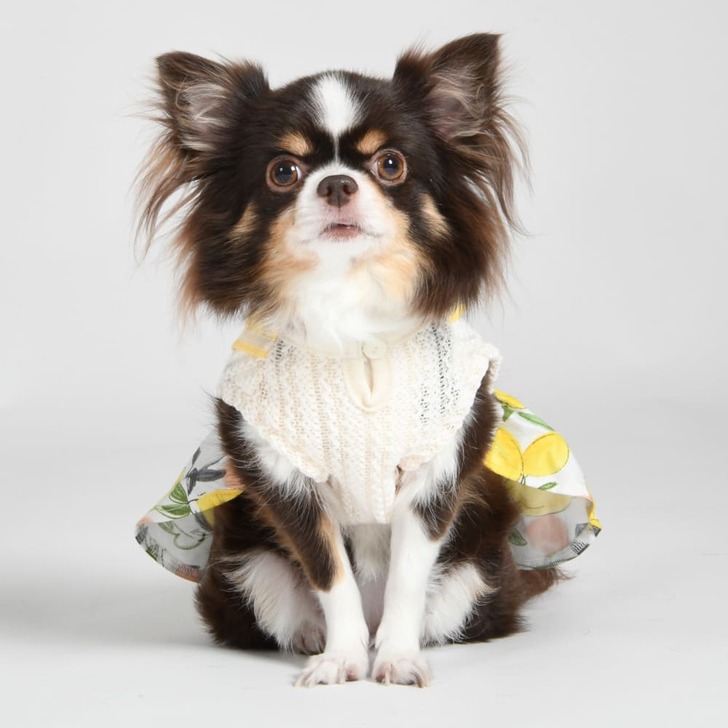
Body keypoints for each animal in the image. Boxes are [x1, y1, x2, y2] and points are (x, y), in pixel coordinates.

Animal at [137, 33, 565, 687]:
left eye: (390, 165)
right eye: (283, 172)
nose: (336, 183)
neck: (351, 316)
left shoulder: (438, 473)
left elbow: (409, 577)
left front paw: (397, 658)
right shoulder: (282, 477)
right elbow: (329, 572)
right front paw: (342, 658)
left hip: (478, 573)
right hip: (243, 569)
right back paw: (318, 639)